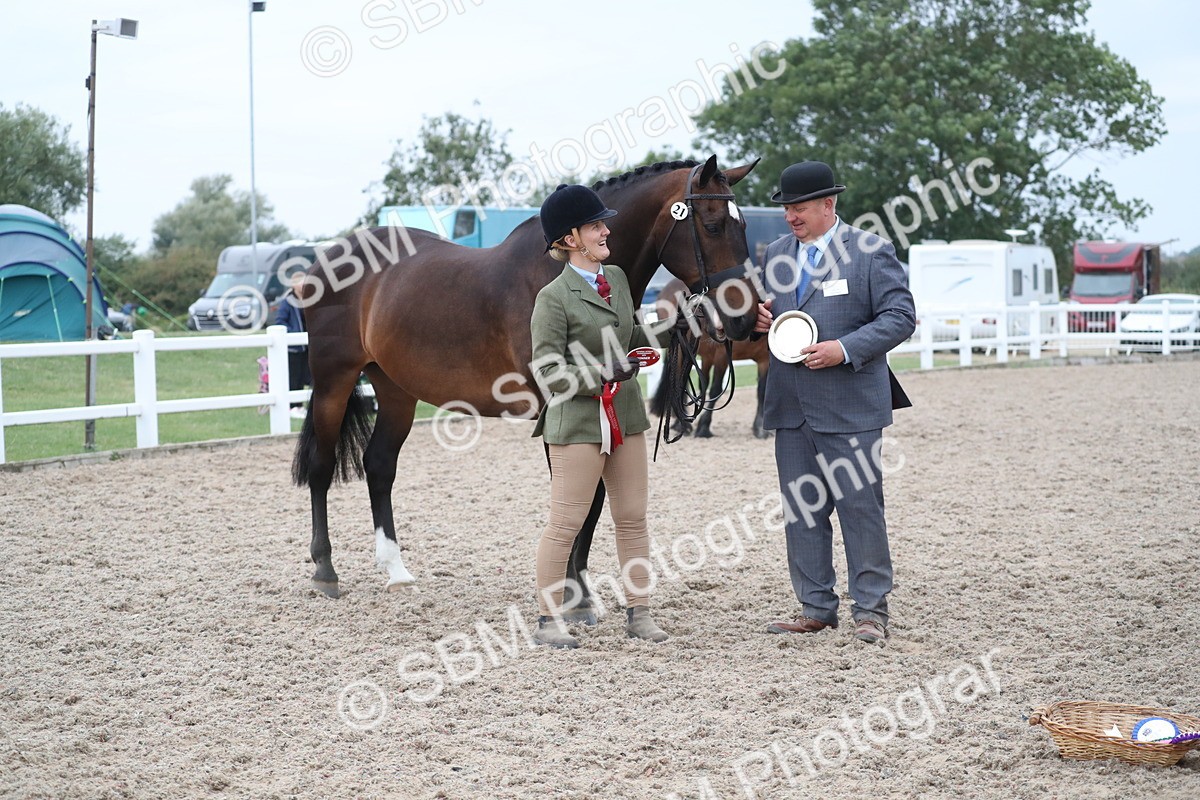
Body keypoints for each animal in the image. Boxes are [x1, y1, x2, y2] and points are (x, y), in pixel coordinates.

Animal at [649, 277, 772, 439]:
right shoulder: (722, 356)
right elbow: (715, 389)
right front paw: (704, 427)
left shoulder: (765, 359)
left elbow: (762, 390)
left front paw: (759, 428)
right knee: (679, 379)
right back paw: (683, 425)